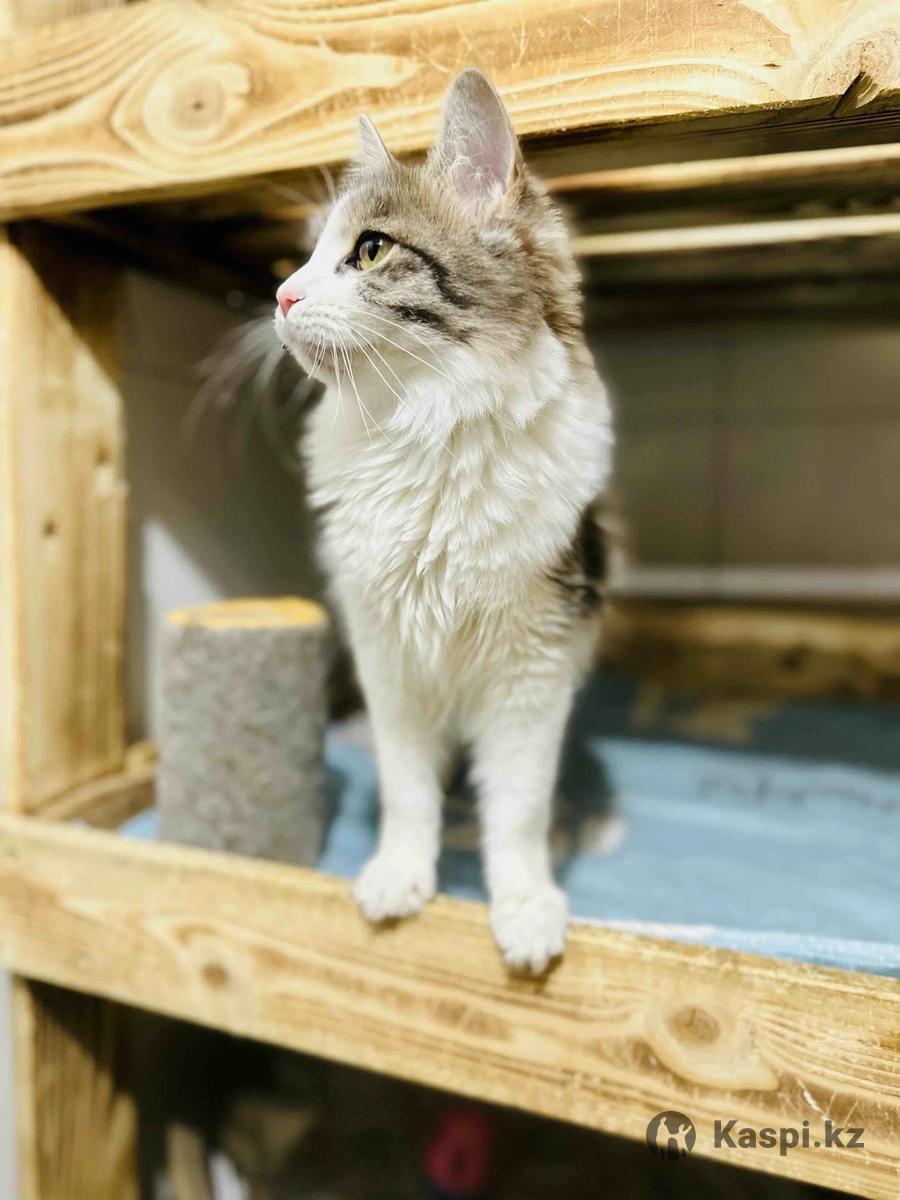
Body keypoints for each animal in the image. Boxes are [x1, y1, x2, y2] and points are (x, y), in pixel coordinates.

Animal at [274, 68, 614, 972]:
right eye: (308, 254)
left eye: (369, 250)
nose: (280, 295)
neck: (425, 436)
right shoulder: (388, 661)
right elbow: (406, 791)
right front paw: (400, 876)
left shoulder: (533, 671)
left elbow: (519, 812)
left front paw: (524, 907)